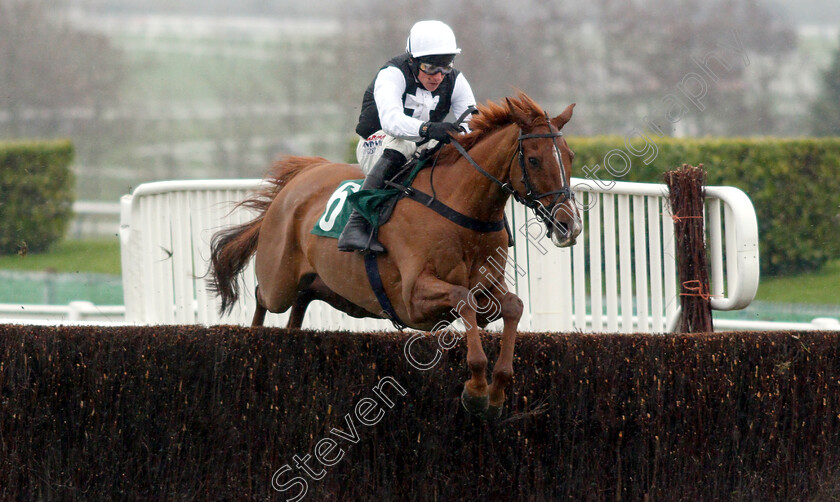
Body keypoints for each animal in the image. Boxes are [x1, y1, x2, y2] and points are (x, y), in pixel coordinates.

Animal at [208, 92, 584, 418]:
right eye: (533, 159)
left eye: (569, 157)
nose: (570, 225)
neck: (461, 210)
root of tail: (299, 177)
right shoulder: (413, 297)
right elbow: (463, 299)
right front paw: (476, 392)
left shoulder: (488, 289)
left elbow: (513, 307)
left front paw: (496, 393)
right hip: (279, 281)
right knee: (263, 296)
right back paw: (254, 342)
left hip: (323, 286)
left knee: (299, 306)